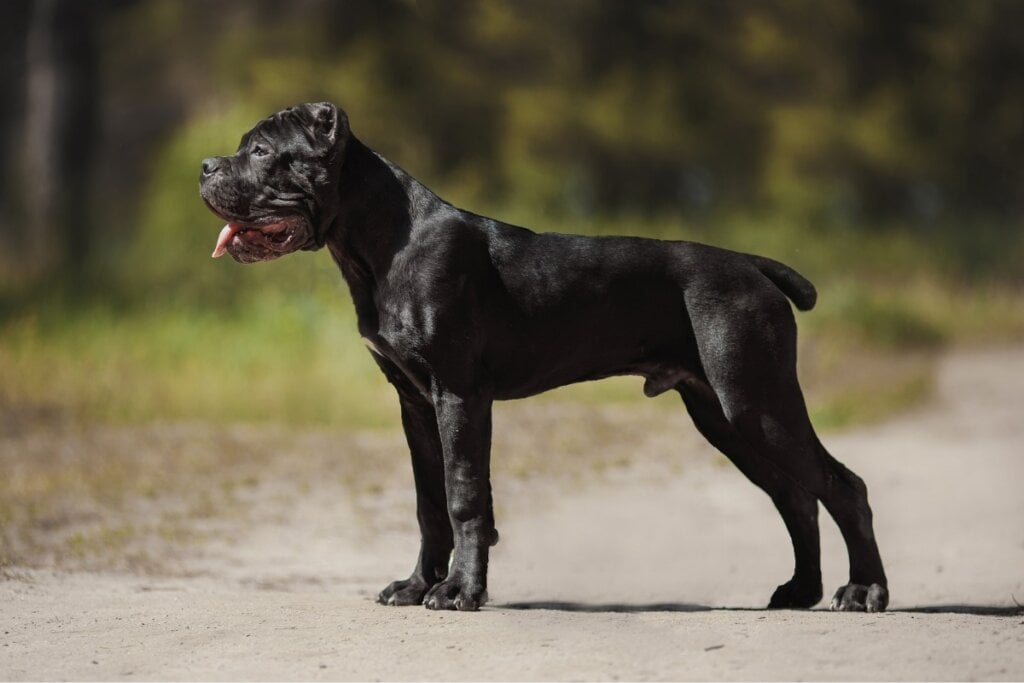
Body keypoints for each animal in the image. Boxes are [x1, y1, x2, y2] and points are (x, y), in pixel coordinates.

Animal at [199, 101, 888, 614]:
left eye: (261, 152)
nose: (204, 166)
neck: (379, 242)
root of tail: (752, 264)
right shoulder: (416, 405)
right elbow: (429, 504)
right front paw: (418, 585)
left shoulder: (459, 395)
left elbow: (463, 496)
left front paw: (459, 592)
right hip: (724, 417)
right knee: (797, 496)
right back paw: (800, 591)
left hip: (754, 401)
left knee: (843, 486)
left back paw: (864, 591)